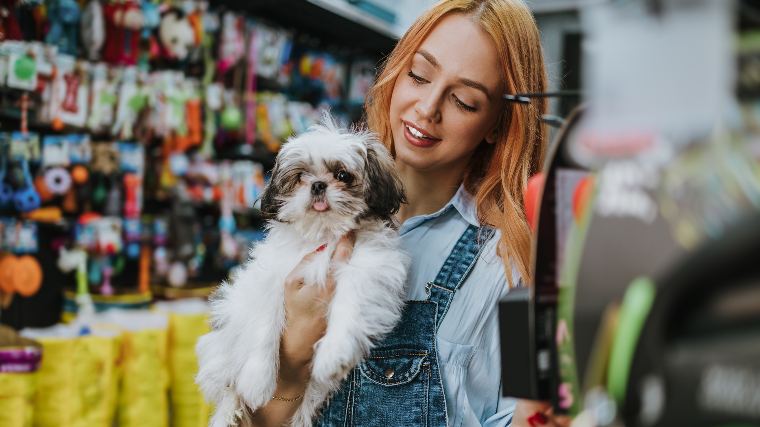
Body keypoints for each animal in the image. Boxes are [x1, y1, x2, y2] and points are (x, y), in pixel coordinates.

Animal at [196, 115, 410, 426]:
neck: (324, 234)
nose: (318, 185)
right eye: (300, 178)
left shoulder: (367, 268)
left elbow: (350, 304)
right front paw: (258, 379)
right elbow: (266, 322)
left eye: (342, 175)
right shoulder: (272, 277)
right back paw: (230, 411)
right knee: (228, 387)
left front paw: (334, 353)